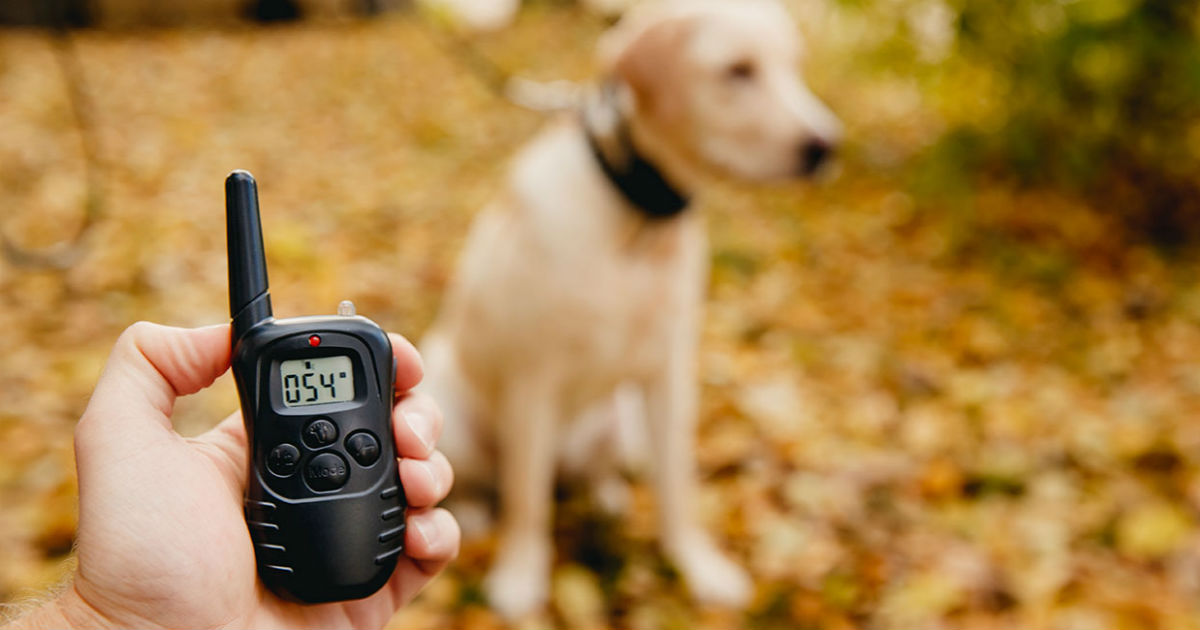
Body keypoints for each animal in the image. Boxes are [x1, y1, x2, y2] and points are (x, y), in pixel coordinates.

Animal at [422, 0, 844, 614]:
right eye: (738, 70)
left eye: (795, 67)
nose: (826, 144)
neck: (640, 221)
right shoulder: (533, 379)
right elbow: (527, 500)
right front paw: (520, 577)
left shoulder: (669, 372)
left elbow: (677, 485)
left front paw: (697, 566)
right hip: (451, 406)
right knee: (492, 483)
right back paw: (476, 512)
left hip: (619, 420)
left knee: (584, 474)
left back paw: (607, 495)